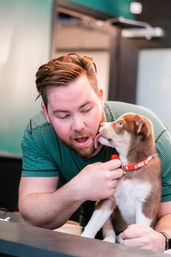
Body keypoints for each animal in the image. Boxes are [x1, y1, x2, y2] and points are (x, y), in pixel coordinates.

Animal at [81, 112, 162, 242]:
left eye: (120, 124)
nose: (101, 124)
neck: (131, 168)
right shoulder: (109, 198)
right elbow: (95, 221)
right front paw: (85, 236)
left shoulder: (146, 204)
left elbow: (141, 227)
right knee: (109, 230)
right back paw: (111, 239)